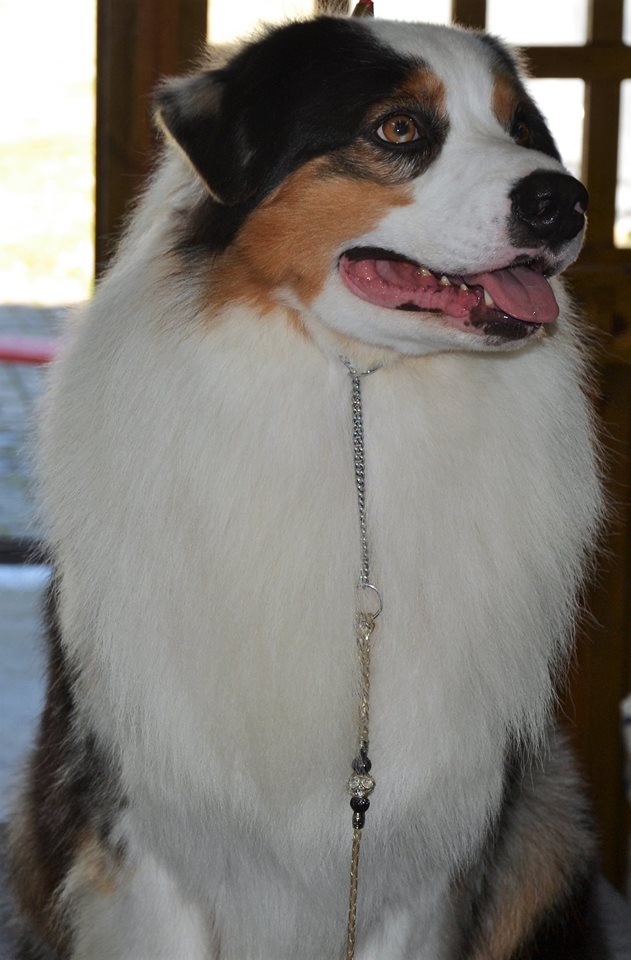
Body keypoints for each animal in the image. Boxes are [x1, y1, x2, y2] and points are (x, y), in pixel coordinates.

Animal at [9, 13, 608, 960]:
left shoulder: (429, 848)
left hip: (548, 820)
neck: (354, 391)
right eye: (397, 130)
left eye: (521, 129)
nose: (566, 200)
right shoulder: (150, 837)